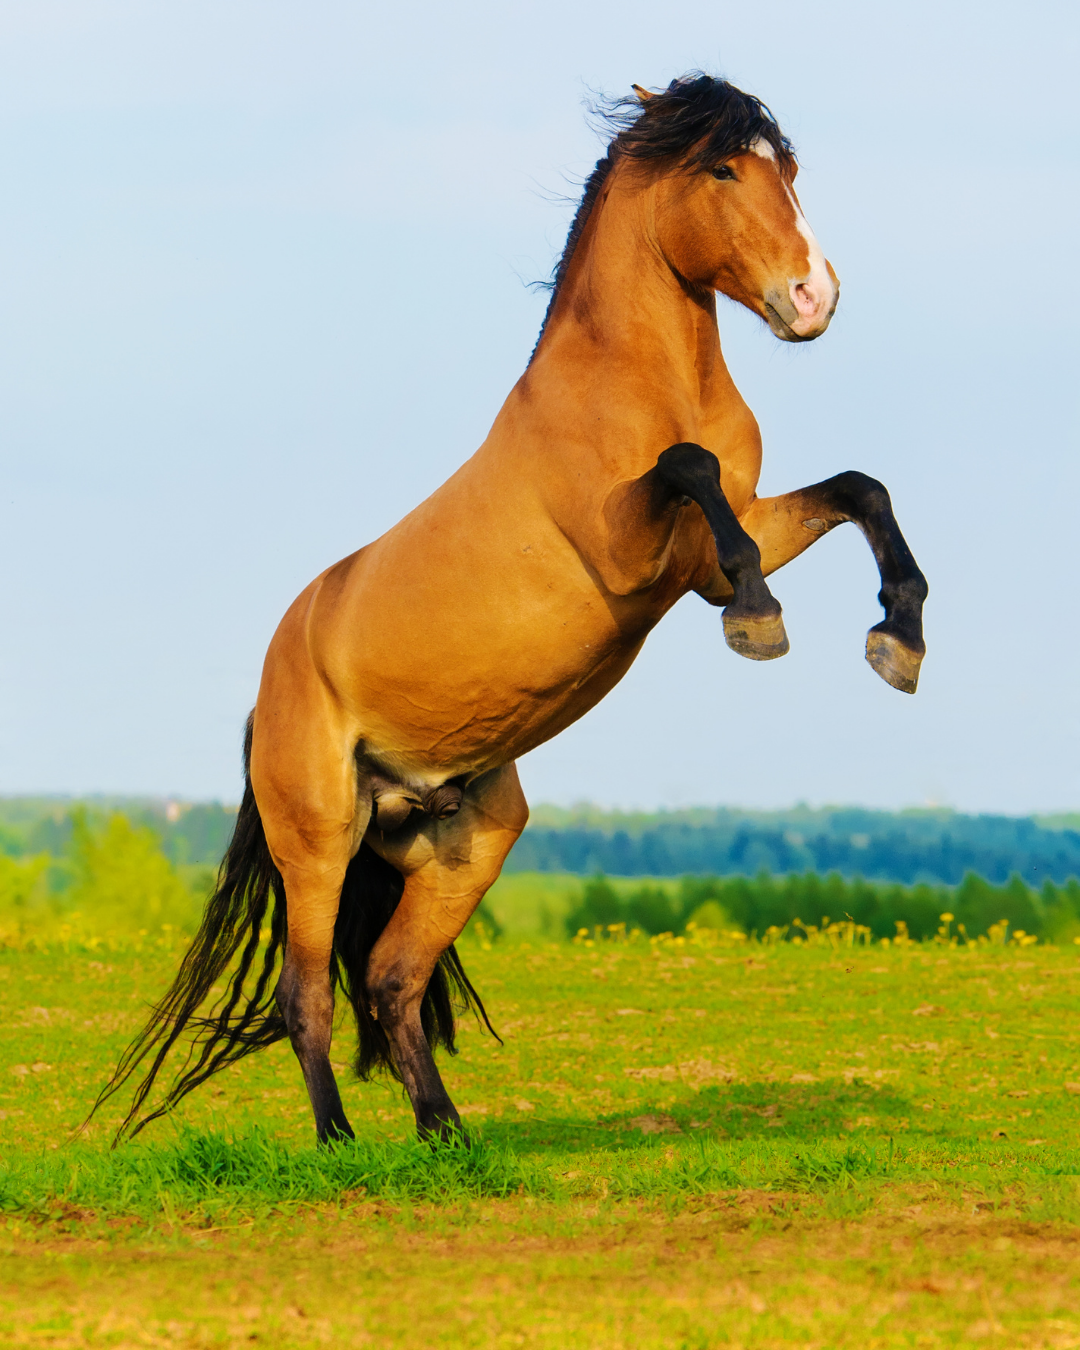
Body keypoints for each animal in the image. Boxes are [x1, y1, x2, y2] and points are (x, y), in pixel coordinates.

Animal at [93, 73, 927, 1145]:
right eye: (722, 168)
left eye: (785, 166)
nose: (813, 296)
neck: (644, 384)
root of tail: (265, 694)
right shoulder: (635, 552)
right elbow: (690, 468)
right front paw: (762, 622)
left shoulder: (713, 548)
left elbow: (860, 490)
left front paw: (897, 639)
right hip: (315, 844)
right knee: (306, 995)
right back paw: (339, 1145)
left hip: (465, 844)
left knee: (390, 979)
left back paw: (447, 1139)